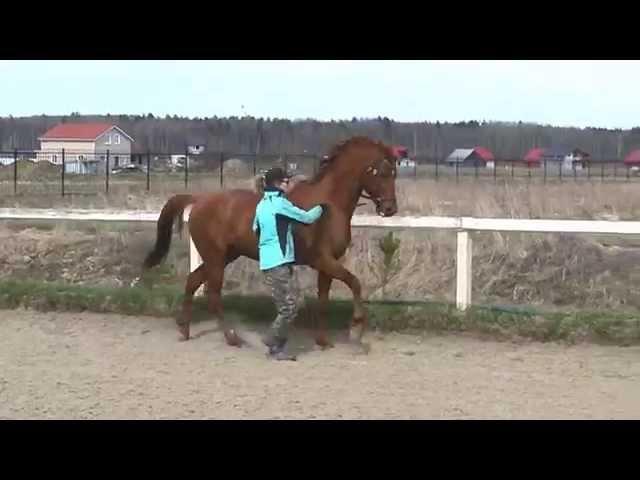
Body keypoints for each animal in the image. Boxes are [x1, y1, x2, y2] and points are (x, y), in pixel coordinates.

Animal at [142, 135, 398, 348]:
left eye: (394, 172)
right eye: (382, 172)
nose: (390, 209)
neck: (329, 206)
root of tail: (199, 200)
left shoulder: (328, 264)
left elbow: (324, 300)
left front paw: (323, 341)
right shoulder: (323, 260)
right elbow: (355, 282)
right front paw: (356, 327)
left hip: (224, 256)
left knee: (193, 281)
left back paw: (184, 330)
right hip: (215, 258)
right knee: (213, 294)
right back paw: (232, 338)